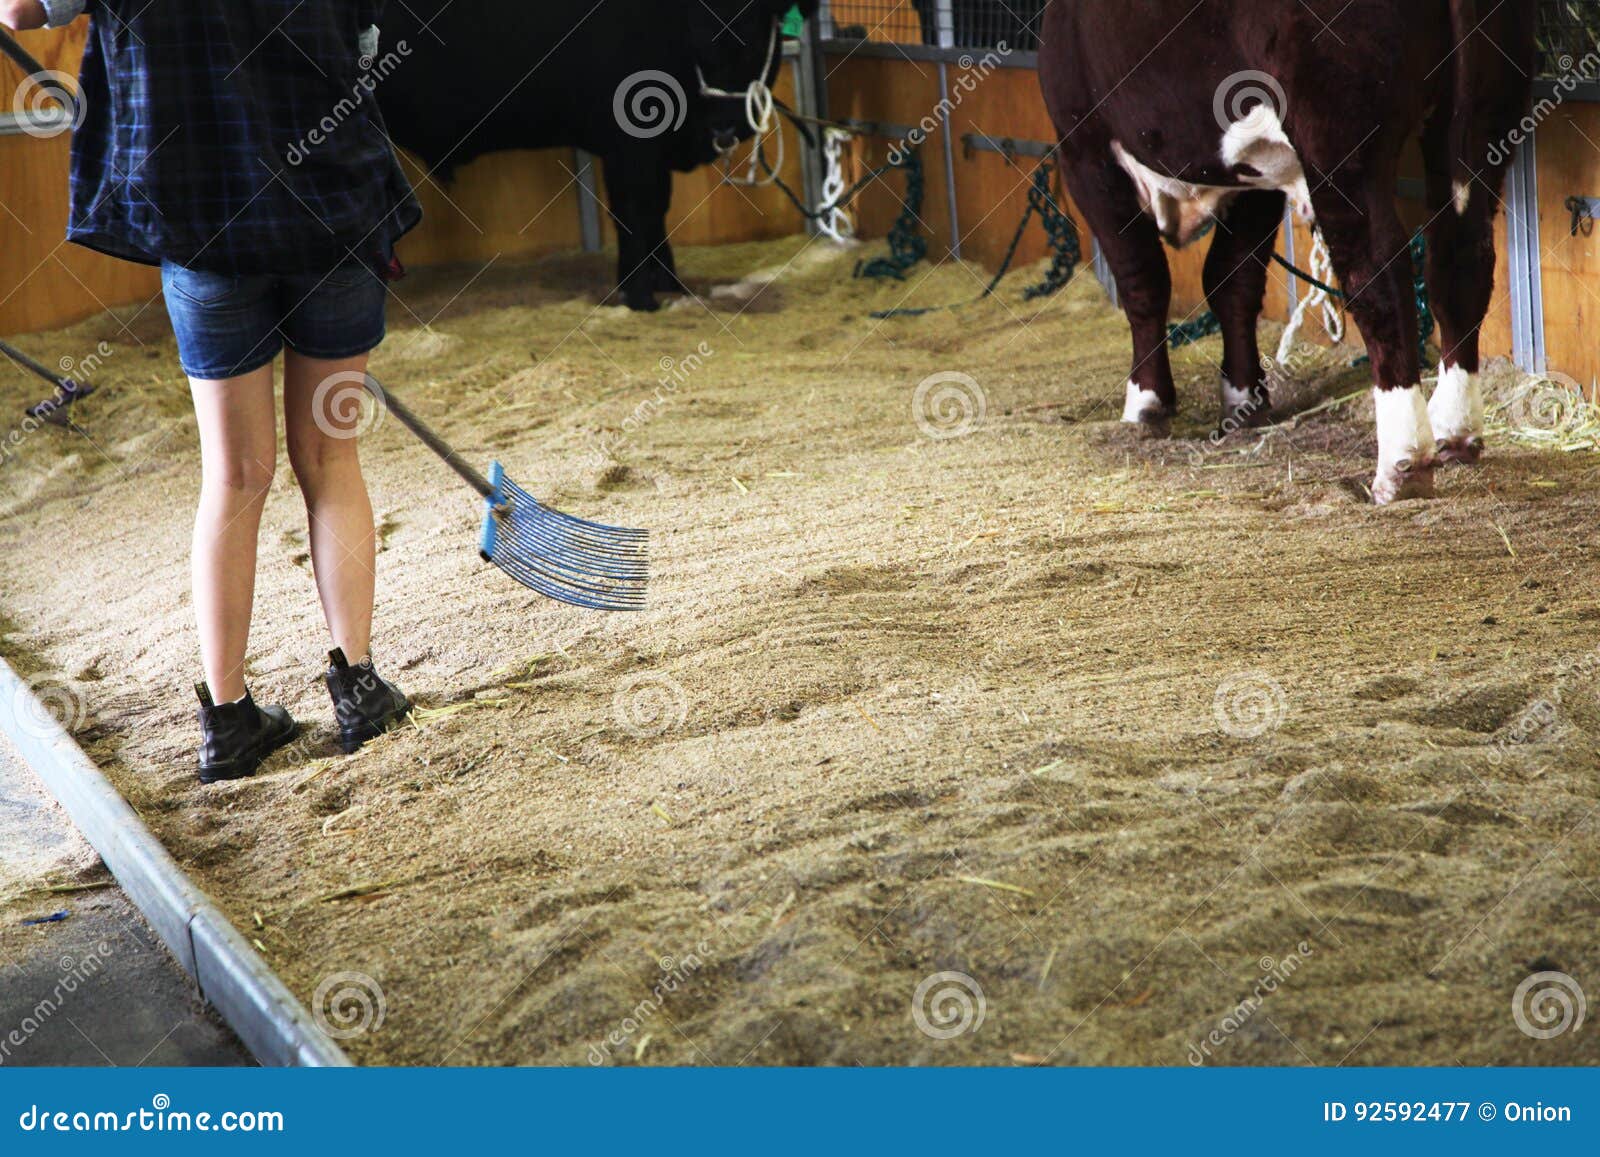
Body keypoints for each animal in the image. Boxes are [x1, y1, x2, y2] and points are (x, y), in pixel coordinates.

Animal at [377, 0, 816, 312]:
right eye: (697, 32)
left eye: (756, 32)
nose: (724, 128)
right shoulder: (631, 143)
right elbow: (635, 210)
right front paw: (640, 295)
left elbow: (656, 209)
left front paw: (667, 282)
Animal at [1038, 0, 1537, 504]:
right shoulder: (1251, 178)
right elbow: (1231, 280)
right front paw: (1243, 397)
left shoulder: (1085, 152)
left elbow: (1143, 283)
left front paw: (1146, 402)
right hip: (1485, 117)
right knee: (1460, 263)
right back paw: (1455, 431)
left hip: (1340, 141)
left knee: (1380, 276)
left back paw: (1403, 463)